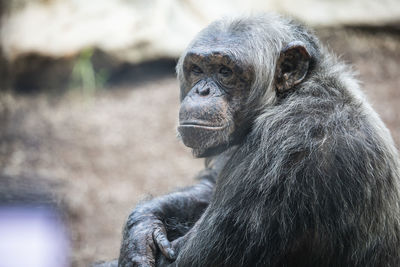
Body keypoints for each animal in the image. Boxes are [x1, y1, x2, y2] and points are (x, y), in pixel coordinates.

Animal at [115, 13, 400, 266]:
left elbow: (188, 260)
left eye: (225, 71)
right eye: (197, 69)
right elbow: (210, 186)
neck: (285, 98)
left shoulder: (282, 148)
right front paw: (142, 227)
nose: (202, 91)